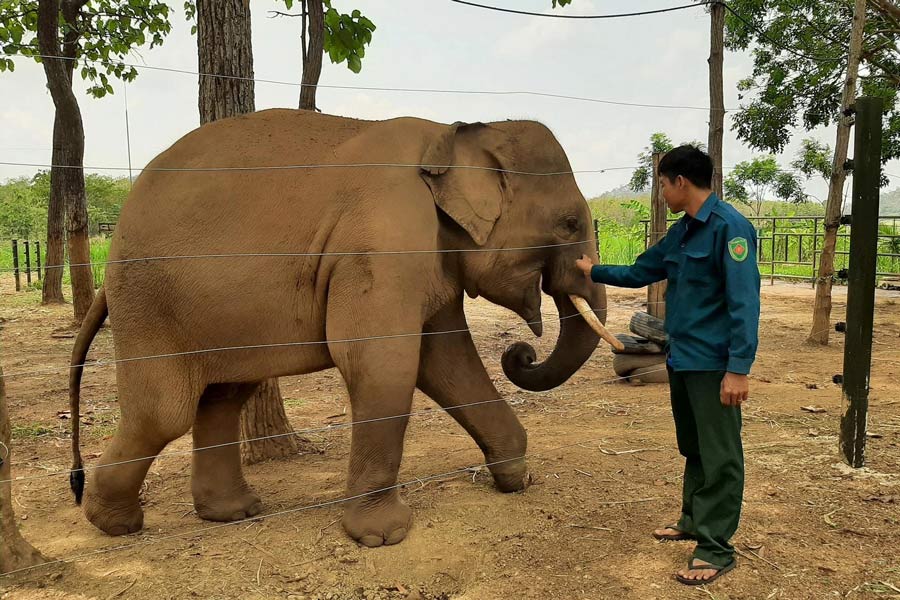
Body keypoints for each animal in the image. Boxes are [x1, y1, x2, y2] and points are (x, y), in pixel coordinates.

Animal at [68, 108, 620, 548]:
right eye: (570, 224)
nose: (520, 353)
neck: (454, 132)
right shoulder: (382, 244)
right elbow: (383, 361)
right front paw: (383, 537)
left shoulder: (429, 253)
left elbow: (446, 359)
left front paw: (516, 478)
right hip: (149, 305)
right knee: (165, 413)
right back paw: (114, 524)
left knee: (223, 396)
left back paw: (233, 513)